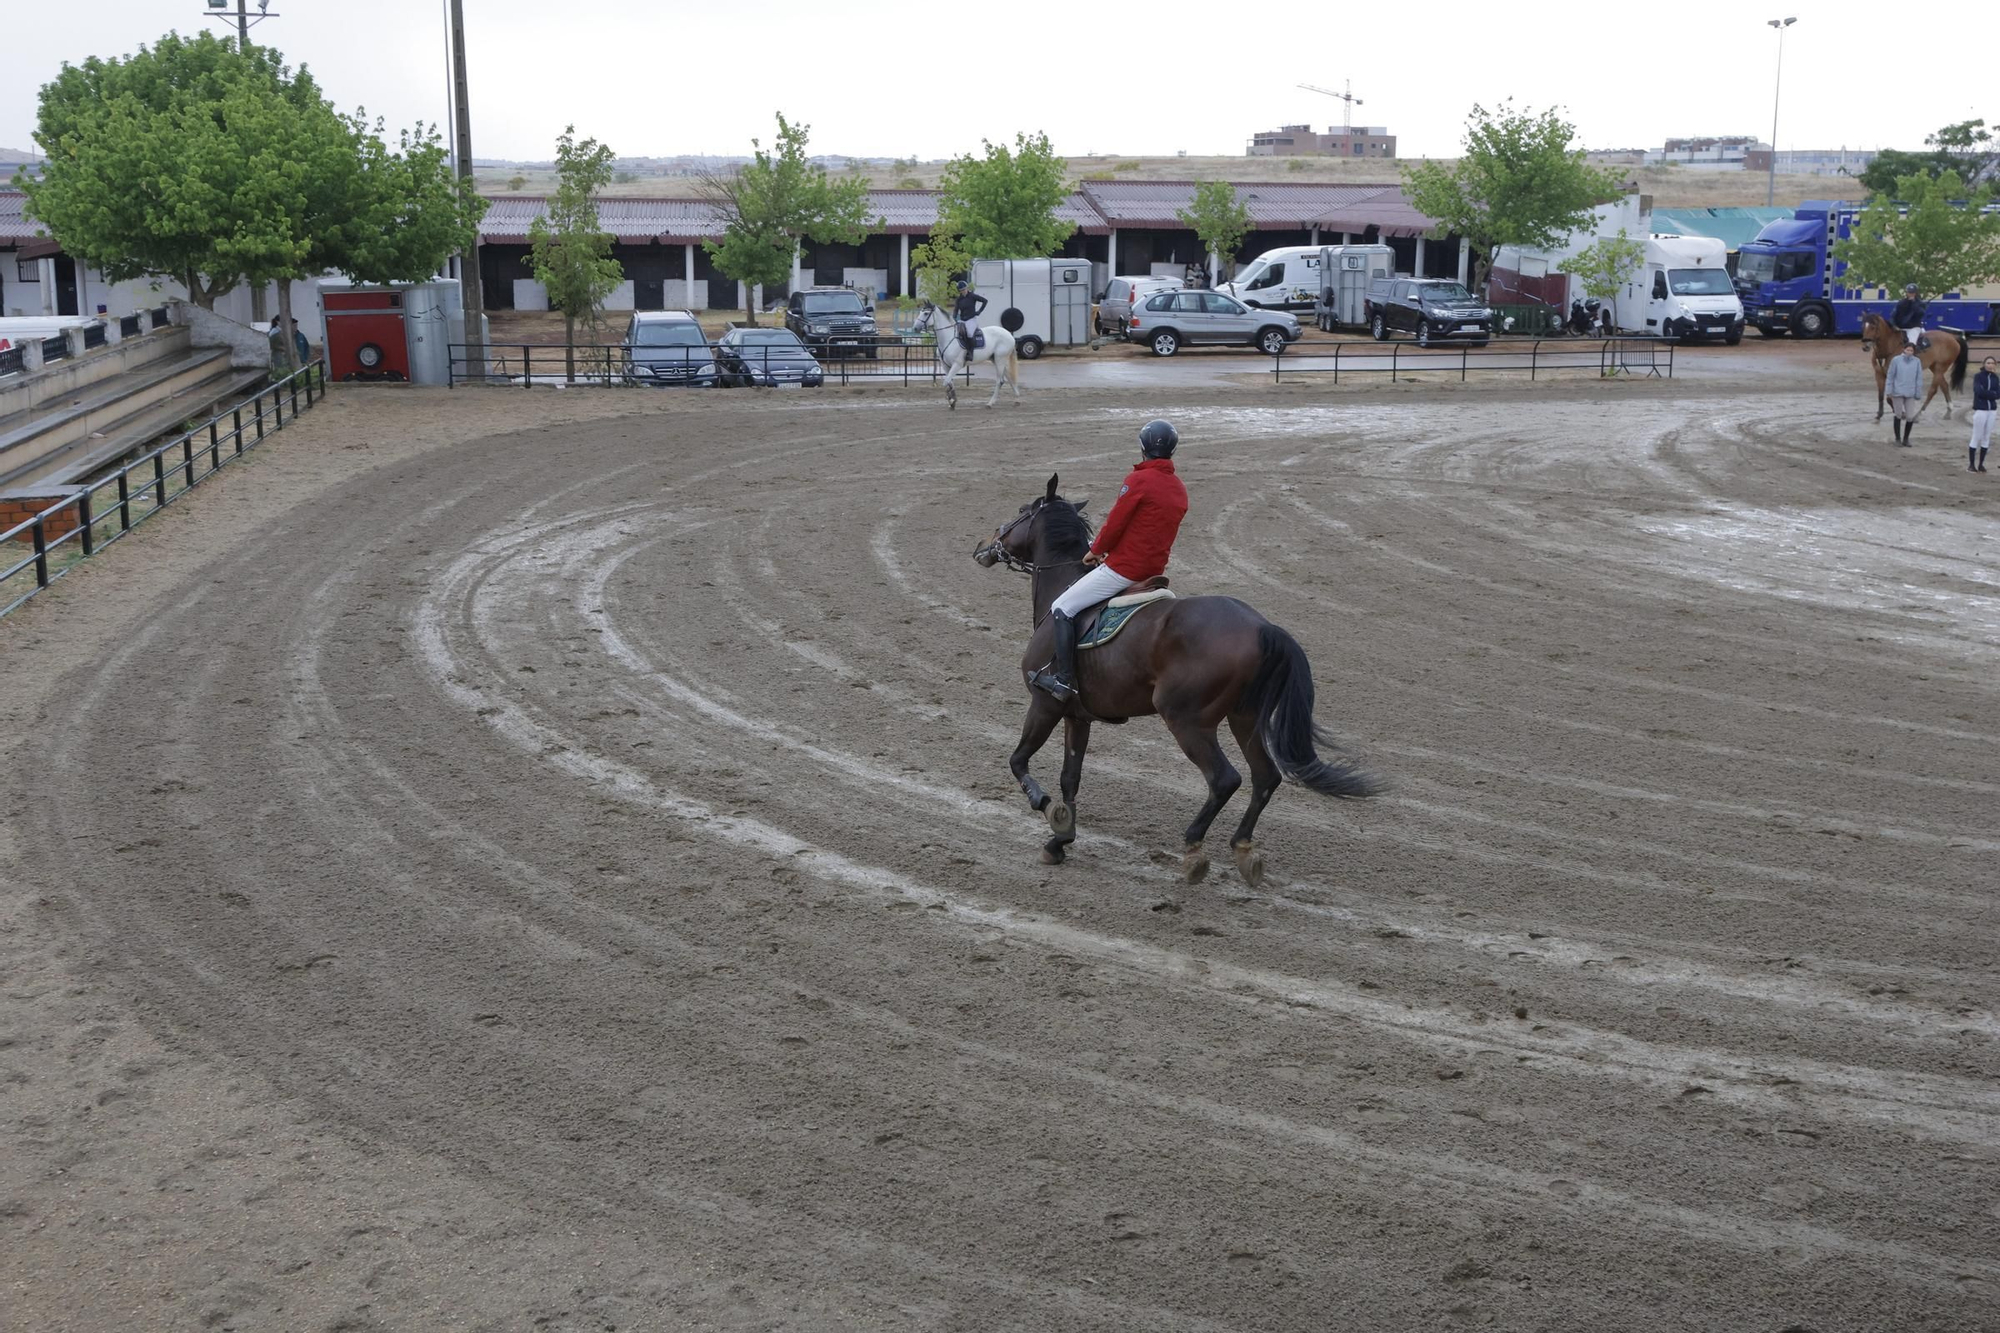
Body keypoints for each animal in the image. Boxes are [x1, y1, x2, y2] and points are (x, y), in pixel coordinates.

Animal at [976, 472, 1384, 888]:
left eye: (1021, 511)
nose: (983, 546)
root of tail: (1262, 627)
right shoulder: (1078, 716)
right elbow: (1069, 777)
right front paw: (1059, 841)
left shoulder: (1045, 703)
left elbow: (1019, 760)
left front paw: (1047, 809)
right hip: (1245, 718)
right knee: (1265, 777)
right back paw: (1243, 849)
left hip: (1187, 720)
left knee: (1225, 780)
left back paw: (1193, 849)